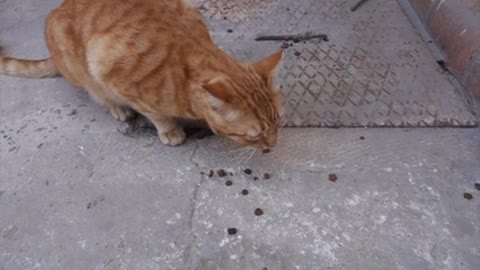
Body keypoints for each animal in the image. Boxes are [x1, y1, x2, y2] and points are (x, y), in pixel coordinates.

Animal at [0, 0, 282, 149]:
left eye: (278, 122)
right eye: (255, 135)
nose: (272, 145)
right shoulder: (113, 72)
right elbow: (156, 114)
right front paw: (169, 129)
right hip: (83, 69)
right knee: (97, 93)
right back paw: (117, 108)